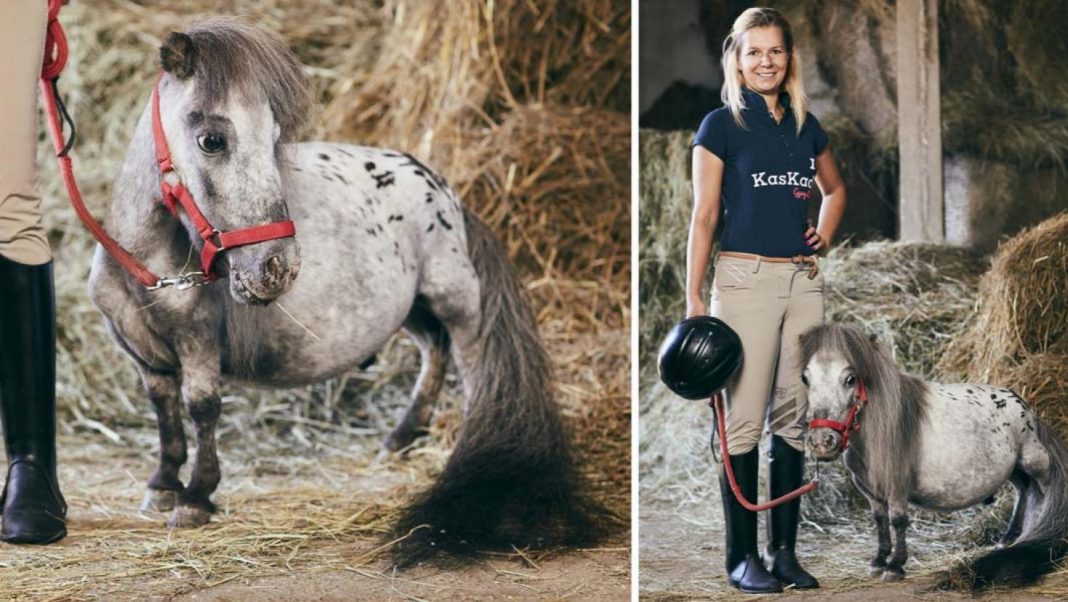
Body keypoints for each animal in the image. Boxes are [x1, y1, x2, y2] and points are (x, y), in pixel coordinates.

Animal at [86, 17, 606, 563]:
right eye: (211, 139)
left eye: (274, 137)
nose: (277, 268)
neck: (145, 264)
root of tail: (445, 191)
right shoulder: (144, 354)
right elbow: (164, 412)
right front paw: (163, 484)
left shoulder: (199, 343)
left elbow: (201, 408)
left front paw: (195, 497)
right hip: (412, 310)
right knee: (434, 350)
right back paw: (401, 437)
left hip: (455, 299)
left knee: (470, 363)